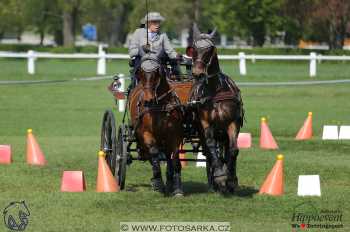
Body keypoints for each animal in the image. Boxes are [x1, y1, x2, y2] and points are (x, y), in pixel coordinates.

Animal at [128, 54, 183, 196]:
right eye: (140, 74)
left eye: (157, 74)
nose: (148, 100)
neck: (159, 106)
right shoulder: (146, 134)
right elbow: (154, 154)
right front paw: (158, 183)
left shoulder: (174, 135)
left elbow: (175, 158)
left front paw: (177, 188)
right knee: (151, 155)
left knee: (167, 155)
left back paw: (169, 180)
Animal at [189, 24, 243, 193]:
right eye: (193, 49)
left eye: (210, 49)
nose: (198, 73)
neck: (215, 91)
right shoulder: (206, 124)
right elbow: (211, 146)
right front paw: (219, 176)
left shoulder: (232, 123)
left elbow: (233, 150)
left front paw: (231, 179)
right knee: (209, 150)